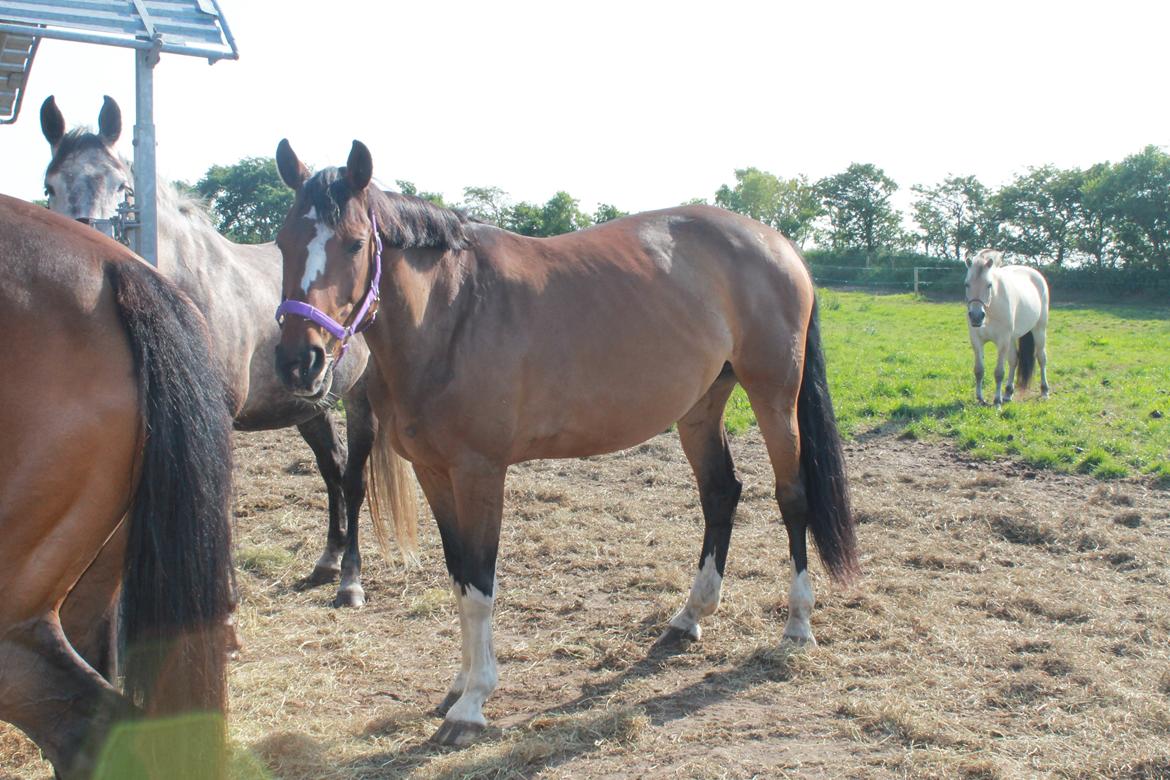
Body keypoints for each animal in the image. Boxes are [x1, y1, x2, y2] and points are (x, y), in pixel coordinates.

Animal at [40, 97, 402, 608]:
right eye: (49, 184)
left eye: (122, 186)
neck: (191, 287)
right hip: (308, 404)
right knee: (331, 467)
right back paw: (327, 561)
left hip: (359, 399)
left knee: (352, 479)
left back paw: (350, 579)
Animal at [271, 142, 861, 748]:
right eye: (282, 242)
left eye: (354, 243)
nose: (298, 362)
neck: (452, 312)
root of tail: (778, 244)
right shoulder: (435, 472)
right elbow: (459, 577)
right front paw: (457, 688)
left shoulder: (480, 472)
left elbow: (480, 584)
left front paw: (473, 704)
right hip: (701, 405)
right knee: (721, 494)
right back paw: (688, 618)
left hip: (774, 394)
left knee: (793, 497)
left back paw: (798, 625)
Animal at [964, 250, 1057, 409]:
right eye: (967, 284)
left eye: (989, 285)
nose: (976, 316)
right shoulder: (977, 341)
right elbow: (979, 370)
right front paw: (981, 398)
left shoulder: (1002, 341)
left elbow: (999, 373)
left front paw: (996, 402)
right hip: (1013, 338)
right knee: (1014, 361)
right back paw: (1008, 393)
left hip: (1039, 330)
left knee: (1041, 358)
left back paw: (1044, 391)